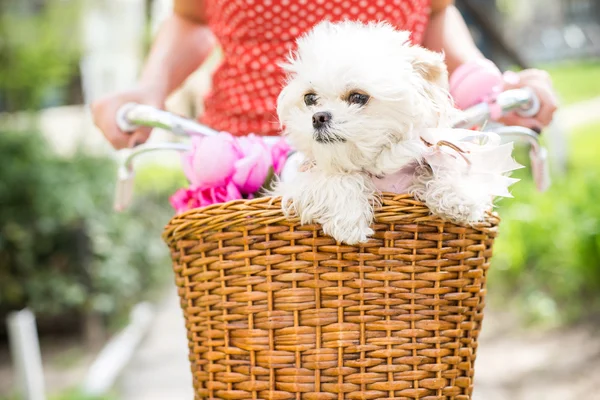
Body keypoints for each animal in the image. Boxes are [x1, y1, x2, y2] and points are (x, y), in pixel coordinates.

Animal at [274, 21, 516, 244]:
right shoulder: (293, 186)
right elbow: (336, 179)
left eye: (358, 97)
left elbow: (451, 165)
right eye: (310, 98)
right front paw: (349, 221)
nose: (318, 117)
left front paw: (458, 197)